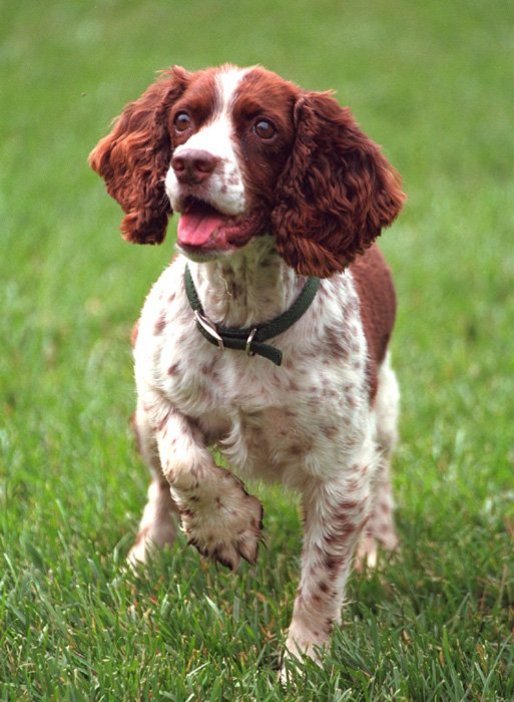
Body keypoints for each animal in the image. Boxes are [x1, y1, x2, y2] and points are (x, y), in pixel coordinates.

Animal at [89, 64, 404, 672]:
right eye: (182, 119)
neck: (246, 328)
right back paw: (147, 555)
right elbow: (184, 461)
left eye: (263, 127)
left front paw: (302, 663)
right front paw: (227, 529)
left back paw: (379, 549)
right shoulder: (156, 388)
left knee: (382, 482)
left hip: (386, 411)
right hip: (139, 422)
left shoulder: (343, 466)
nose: (189, 162)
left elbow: (322, 576)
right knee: (159, 485)